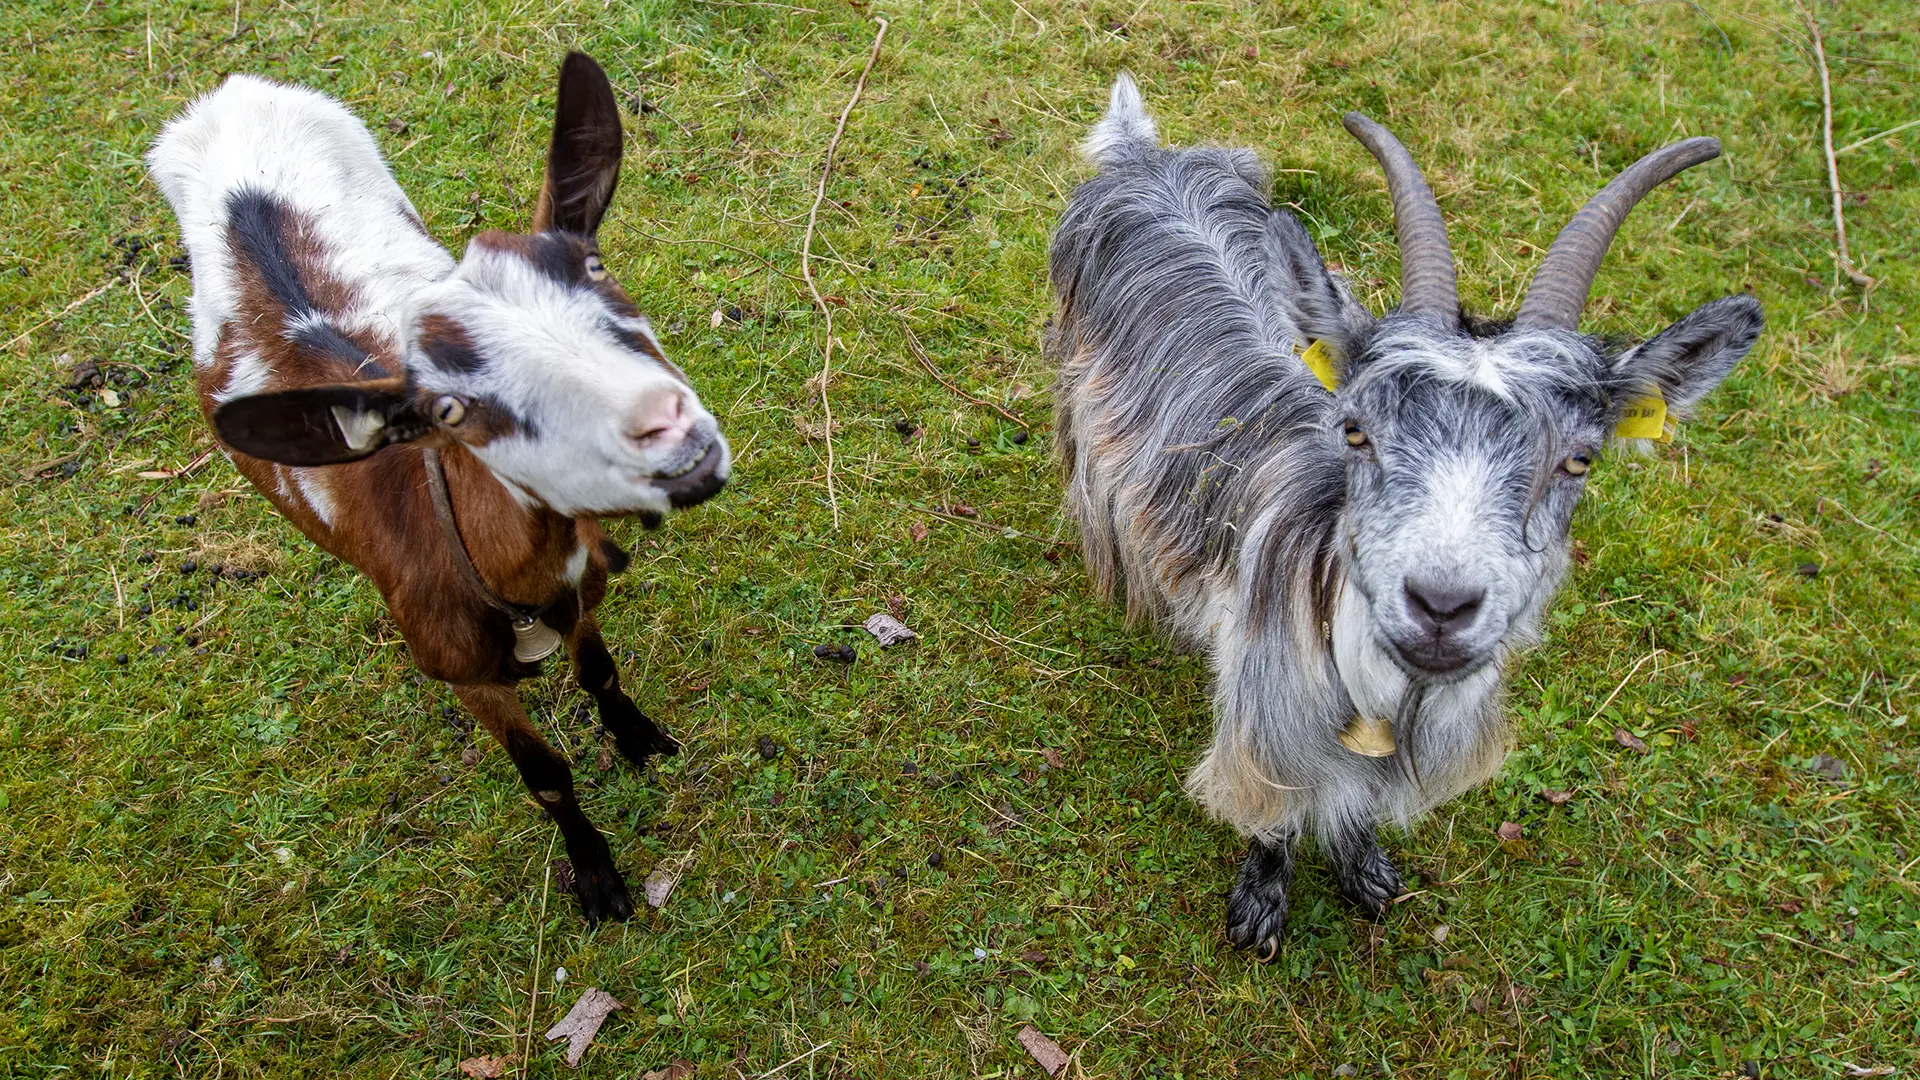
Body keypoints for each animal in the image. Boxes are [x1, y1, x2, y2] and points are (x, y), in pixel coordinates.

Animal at [147, 53, 730, 922]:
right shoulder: (463, 674)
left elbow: (599, 672)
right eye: (449, 410)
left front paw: (639, 740)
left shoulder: (577, 596)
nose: (665, 426)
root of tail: (233, 92)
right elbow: (545, 777)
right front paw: (596, 879)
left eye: (592, 265)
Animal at [1047, 76, 1761, 954]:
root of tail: (1141, 155)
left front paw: (1366, 874)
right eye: (1356, 429)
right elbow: (1276, 814)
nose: (1442, 607)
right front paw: (1261, 903)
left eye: (1578, 460)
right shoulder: (1267, 720)